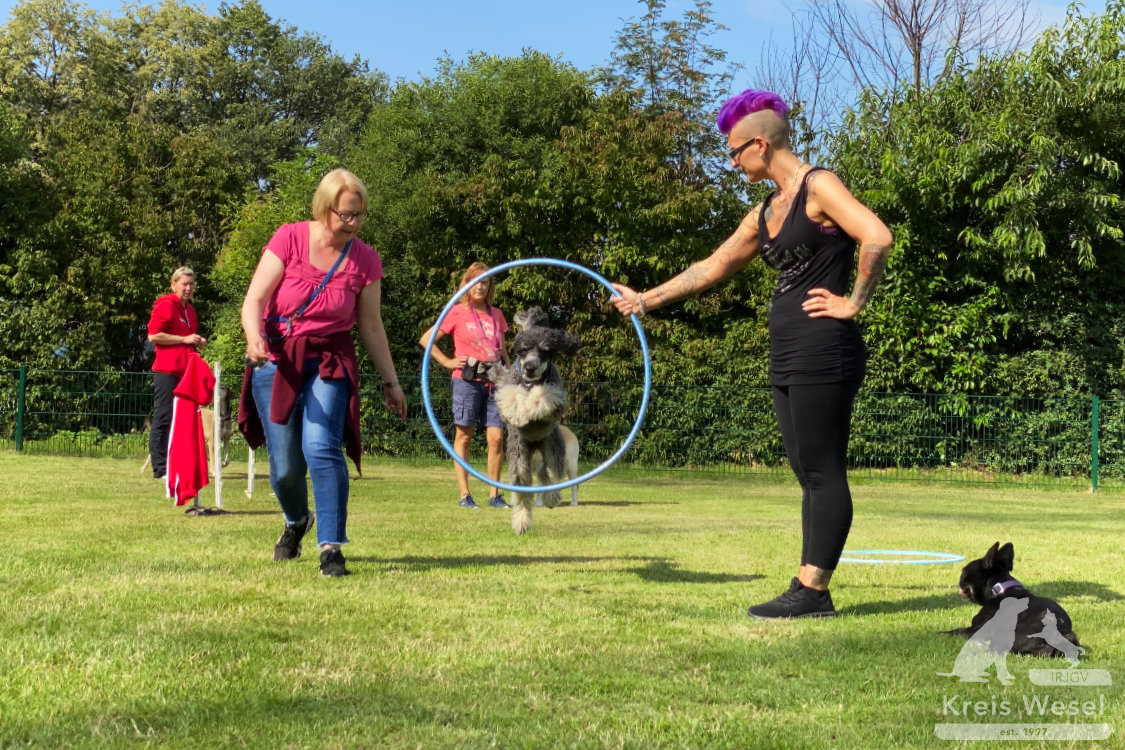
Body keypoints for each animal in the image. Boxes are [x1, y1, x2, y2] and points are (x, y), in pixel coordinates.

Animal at [490, 305, 580, 532]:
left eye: (544, 351)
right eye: (522, 350)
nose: (530, 367)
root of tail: (535, 444)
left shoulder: (557, 394)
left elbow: (543, 394)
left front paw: (531, 407)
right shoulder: (509, 384)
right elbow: (511, 395)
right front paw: (519, 412)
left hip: (556, 454)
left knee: (552, 475)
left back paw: (552, 498)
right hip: (520, 458)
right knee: (524, 485)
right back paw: (521, 521)